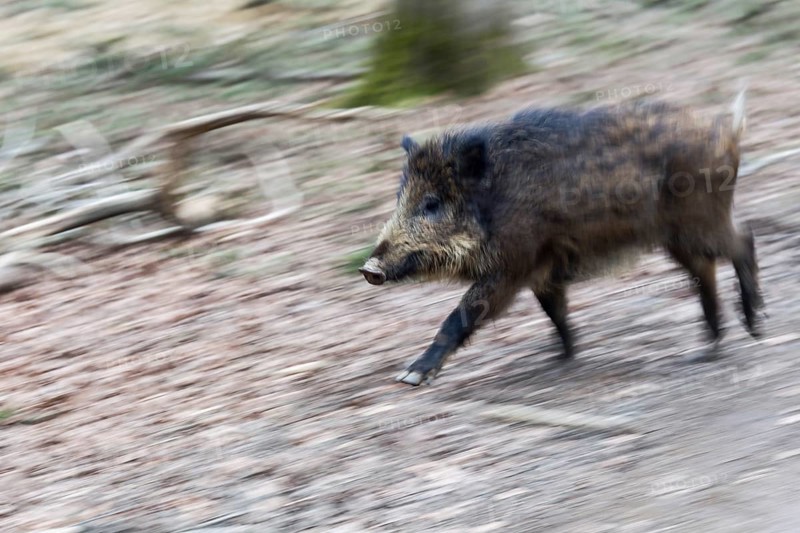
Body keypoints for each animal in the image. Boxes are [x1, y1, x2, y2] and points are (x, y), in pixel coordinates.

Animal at [359, 91, 763, 386]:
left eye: (431, 204)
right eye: (400, 198)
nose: (368, 268)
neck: (492, 205)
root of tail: (728, 130)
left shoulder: (513, 266)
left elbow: (462, 314)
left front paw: (410, 377)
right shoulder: (542, 271)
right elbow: (555, 312)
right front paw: (564, 357)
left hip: (699, 222)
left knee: (744, 240)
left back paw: (754, 326)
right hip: (677, 237)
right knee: (706, 271)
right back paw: (708, 348)